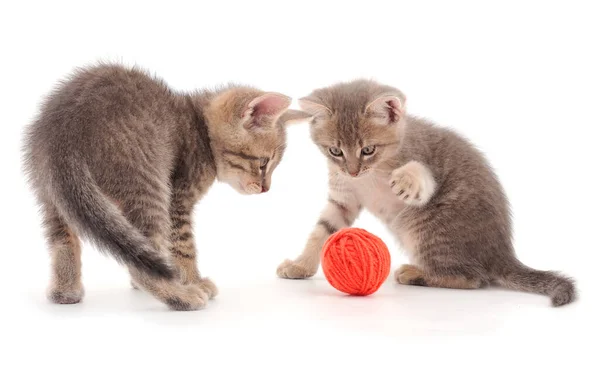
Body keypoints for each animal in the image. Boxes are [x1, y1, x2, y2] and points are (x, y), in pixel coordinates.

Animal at [24, 63, 304, 312]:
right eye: (264, 163)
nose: (266, 189)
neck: (201, 128)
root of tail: (65, 130)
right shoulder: (178, 201)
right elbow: (182, 248)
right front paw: (193, 280)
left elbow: (132, 243)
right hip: (148, 185)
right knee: (143, 262)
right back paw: (182, 297)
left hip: (52, 194)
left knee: (63, 242)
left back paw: (65, 291)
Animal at [278, 79, 580, 308]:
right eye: (335, 151)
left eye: (368, 149)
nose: (352, 171)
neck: (370, 174)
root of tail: (502, 253)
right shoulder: (343, 200)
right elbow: (322, 231)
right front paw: (301, 266)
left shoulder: (420, 154)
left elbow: (420, 173)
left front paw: (406, 179)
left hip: (425, 227)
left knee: (472, 278)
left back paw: (415, 273)